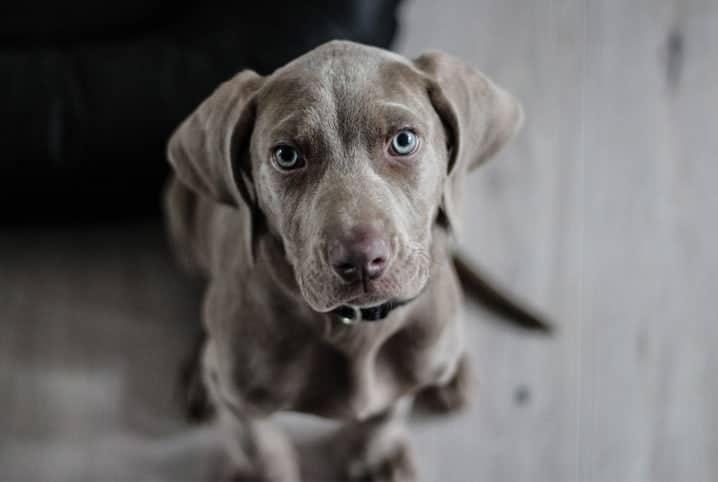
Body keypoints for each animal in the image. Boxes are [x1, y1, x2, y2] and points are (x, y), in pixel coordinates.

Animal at [166, 40, 548, 482]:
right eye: (286, 155)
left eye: (403, 141)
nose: (362, 260)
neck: (355, 328)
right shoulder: (240, 399)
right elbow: (257, 443)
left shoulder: (402, 374)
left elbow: (386, 413)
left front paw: (375, 457)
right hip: (178, 212)